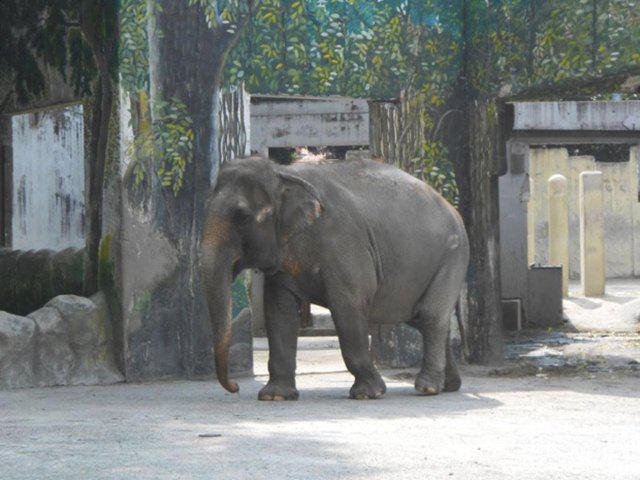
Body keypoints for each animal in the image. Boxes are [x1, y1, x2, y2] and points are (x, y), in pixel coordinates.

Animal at [200, 156, 470, 400]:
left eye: (242, 216)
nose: (235, 386)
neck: (284, 173)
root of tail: (452, 208)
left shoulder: (344, 245)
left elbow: (348, 306)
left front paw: (367, 394)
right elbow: (278, 312)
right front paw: (274, 396)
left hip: (452, 257)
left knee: (429, 315)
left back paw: (427, 389)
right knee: (423, 319)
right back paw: (449, 386)